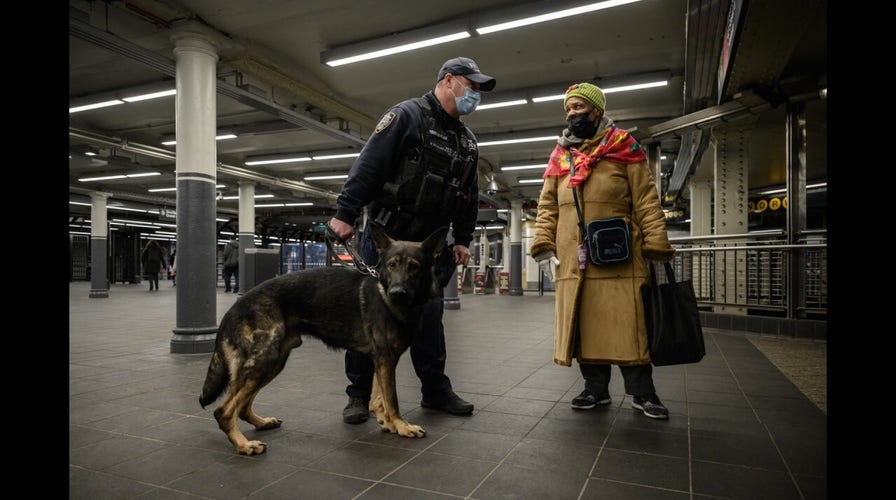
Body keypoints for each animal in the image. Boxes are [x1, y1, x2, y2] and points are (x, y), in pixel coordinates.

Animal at [198, 225, 446, 456]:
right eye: (391, 265)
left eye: (414, 266)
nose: (397, 292)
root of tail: (233, 308)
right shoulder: (385, 360)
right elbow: (392, 399)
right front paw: (402, 426)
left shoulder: (382, 360)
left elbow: (378, 398)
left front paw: (387, 422)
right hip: (262, 362)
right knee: (224, 411)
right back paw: (243, 445)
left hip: (273, 363)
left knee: (241, 407)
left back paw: (262, 423)